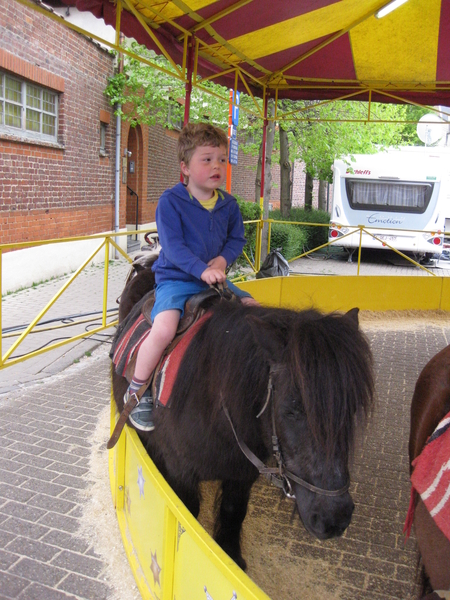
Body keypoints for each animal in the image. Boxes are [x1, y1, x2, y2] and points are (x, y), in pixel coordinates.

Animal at [111, 264, 372, 568]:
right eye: (291, 410)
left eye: (350, 410)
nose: (334, 518)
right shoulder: (180, 472)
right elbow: (187, 515)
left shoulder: (243, 473)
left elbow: (233, 511)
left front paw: (231, 556)